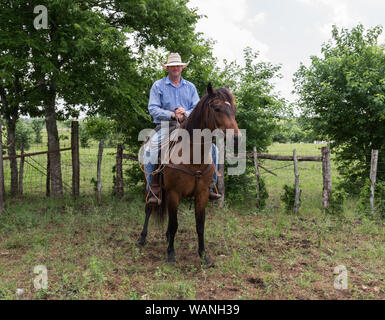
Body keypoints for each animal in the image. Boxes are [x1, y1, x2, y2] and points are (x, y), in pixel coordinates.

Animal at [136, 84, 238, 266]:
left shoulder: (202, 195)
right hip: (151, 186)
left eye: (233, 108)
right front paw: (171, 254)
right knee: (149, 208)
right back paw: (142, 239)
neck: (192, 156)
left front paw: (203, 256)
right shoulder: (174, 194)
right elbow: (174, 224)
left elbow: (200, 225)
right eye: (217, 108)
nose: (236, 138)